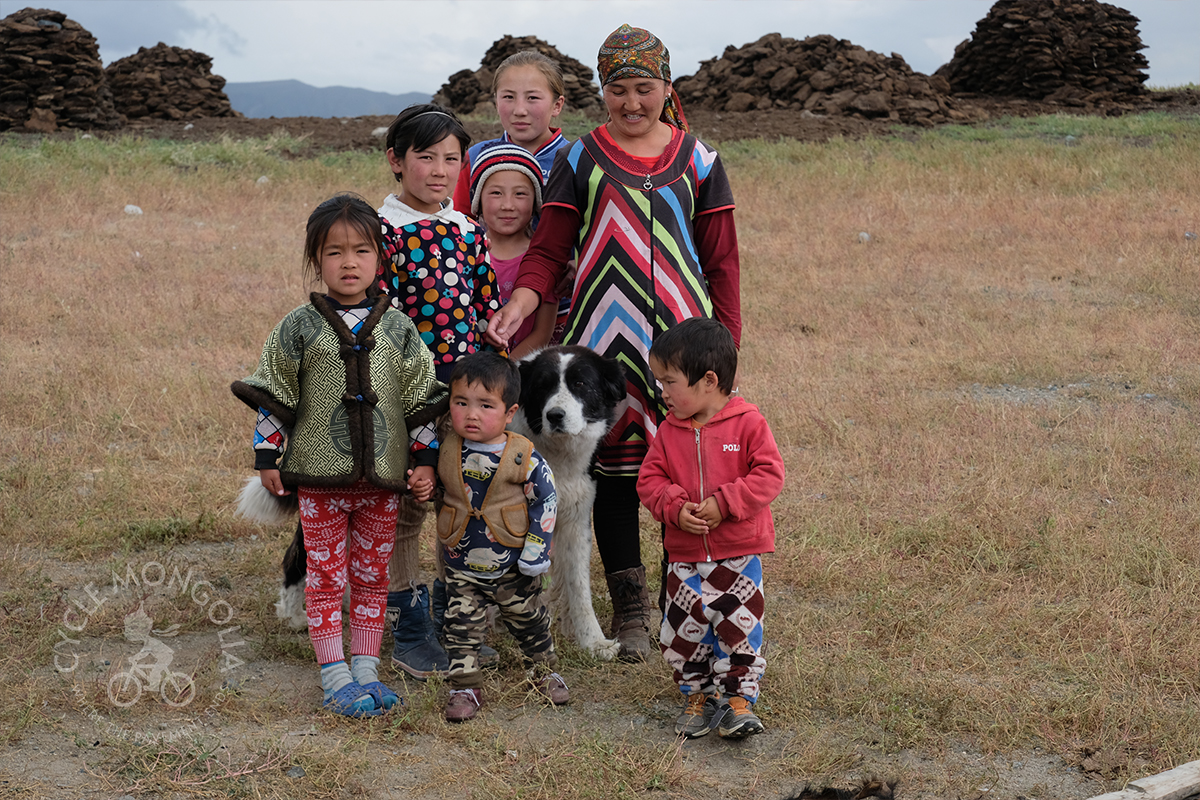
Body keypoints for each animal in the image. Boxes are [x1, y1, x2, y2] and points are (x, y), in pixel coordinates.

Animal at [237, 347, 624, 662]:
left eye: (581, 385)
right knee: (300, 554)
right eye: (543, 387)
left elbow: (577, 586)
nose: (555, 415)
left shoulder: (572, 519)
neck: (555, 452)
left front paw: (593, 641)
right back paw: (295, 615)